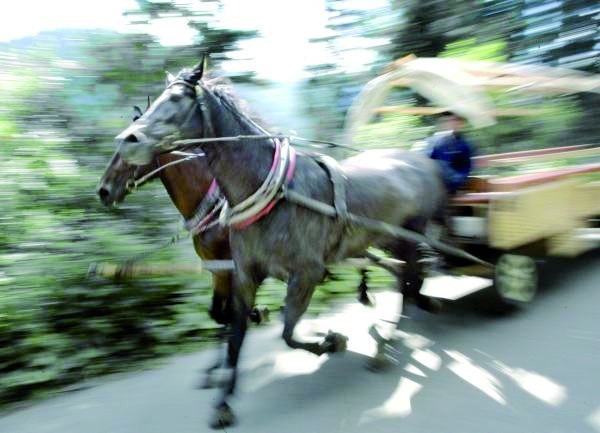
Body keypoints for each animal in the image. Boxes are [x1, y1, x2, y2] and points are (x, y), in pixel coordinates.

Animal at [115, 62, 448, 426]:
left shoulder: (305, 274)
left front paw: (333, 341)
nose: (127, 140)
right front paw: (223, 401)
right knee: (406, 277)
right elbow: (236, 334)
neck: (271, 194)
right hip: (387, 241)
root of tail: (422, 162)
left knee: (410, 277)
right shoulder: (243, 275)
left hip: (409, 236)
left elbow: (287, 333)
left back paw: (388, 340)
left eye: (177, 99)